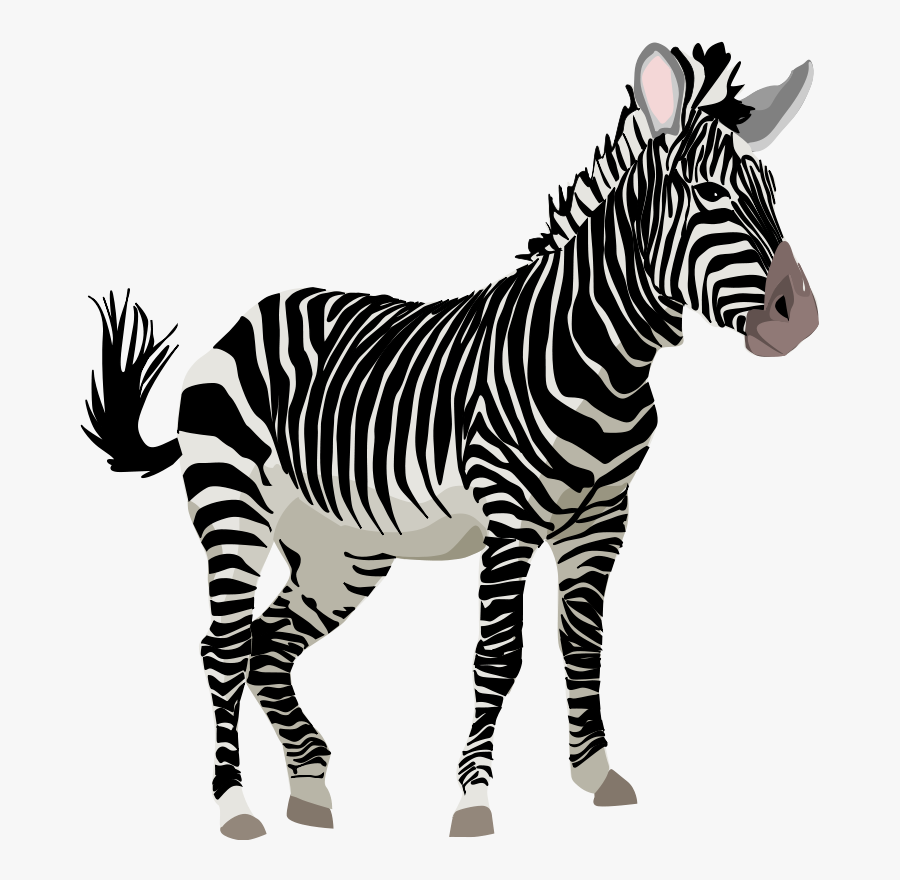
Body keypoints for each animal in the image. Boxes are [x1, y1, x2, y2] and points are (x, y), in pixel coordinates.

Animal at [83, 42, 819, 839]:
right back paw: (234, 806)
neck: (601, 359)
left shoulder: (602, 520)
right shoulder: (510, 516)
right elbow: (498, 654)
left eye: (773, 190)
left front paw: (595, 772)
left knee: (268, 644)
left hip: (342, 551)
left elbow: (582, 643)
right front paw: (474, 799)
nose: (801, 317)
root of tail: (244, 318)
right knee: (221, 648)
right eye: (709, 195)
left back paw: (309, 785)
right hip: (233, 508)